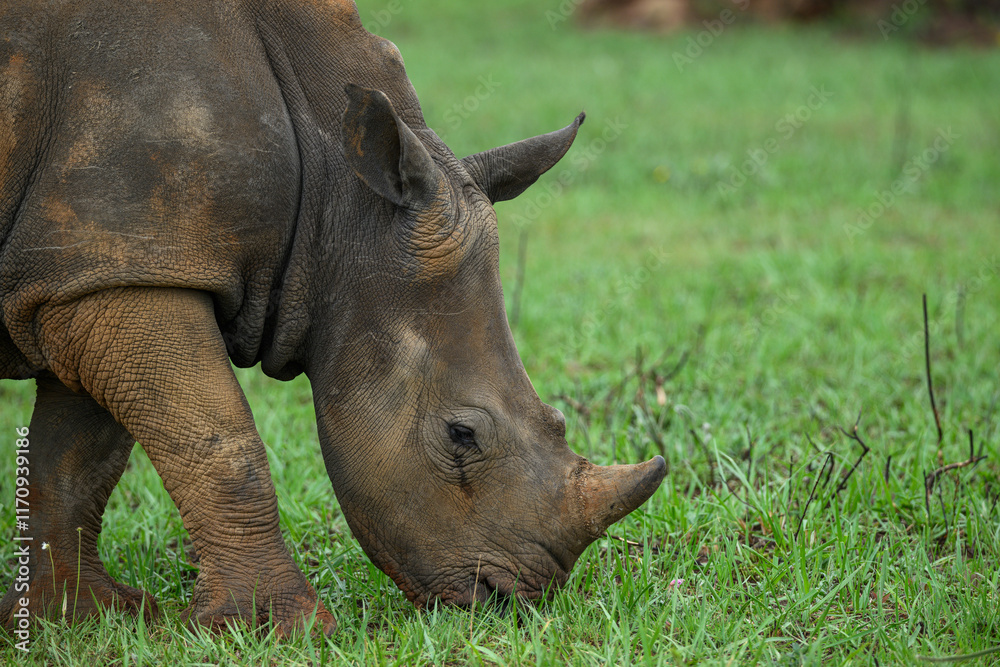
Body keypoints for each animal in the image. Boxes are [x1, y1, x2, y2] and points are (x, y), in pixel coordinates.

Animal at [0, 0, 665, 636]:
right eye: (461, 435)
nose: (514, 601)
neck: (334, 196)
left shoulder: (98, 271)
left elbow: (76, 459)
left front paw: (74, 616)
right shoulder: (127, 267)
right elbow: (222, 442)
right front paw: (280, 630)